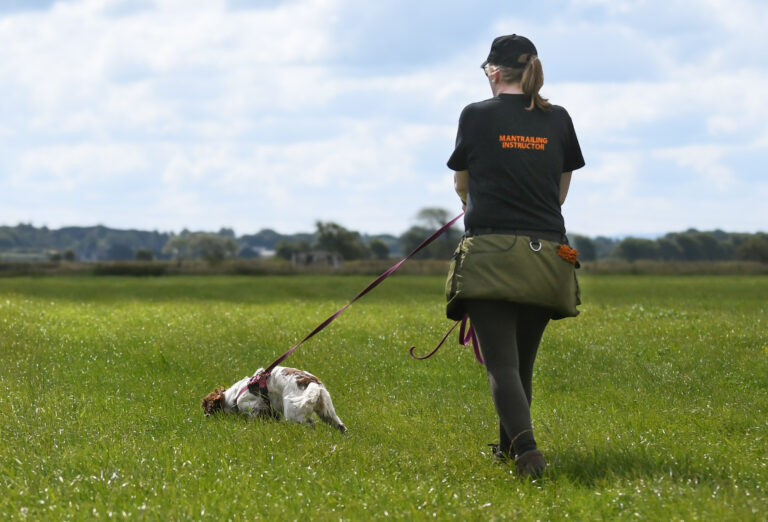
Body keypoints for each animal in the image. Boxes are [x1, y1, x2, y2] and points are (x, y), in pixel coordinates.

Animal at [204, 364, 348, 432]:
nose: (205, 417)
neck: (235, 395)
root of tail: (312, 383)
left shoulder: (254, 409)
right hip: (327, 412)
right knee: (341, 426)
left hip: (293, 414)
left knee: (310, 425)